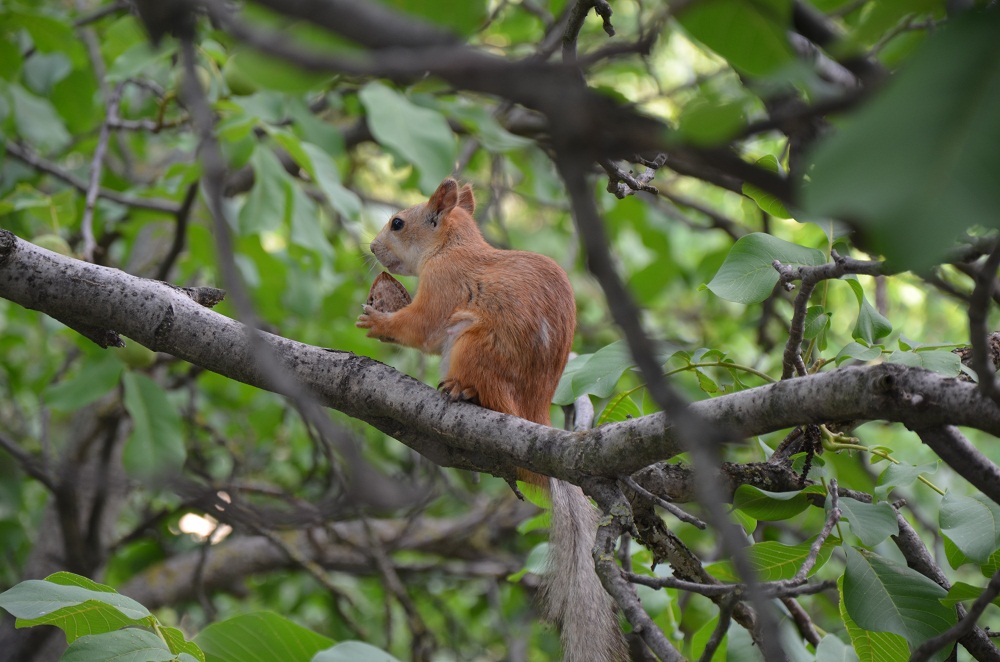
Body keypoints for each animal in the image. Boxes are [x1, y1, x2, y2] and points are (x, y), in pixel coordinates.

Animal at [358, 179, 624, 660]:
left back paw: (462, 391)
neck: (450, 245)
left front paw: (381, 322)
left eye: (398, 223)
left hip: (472, 346)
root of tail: (530, 412)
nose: (371, 247)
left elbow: (421, 328)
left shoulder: (444, 283)